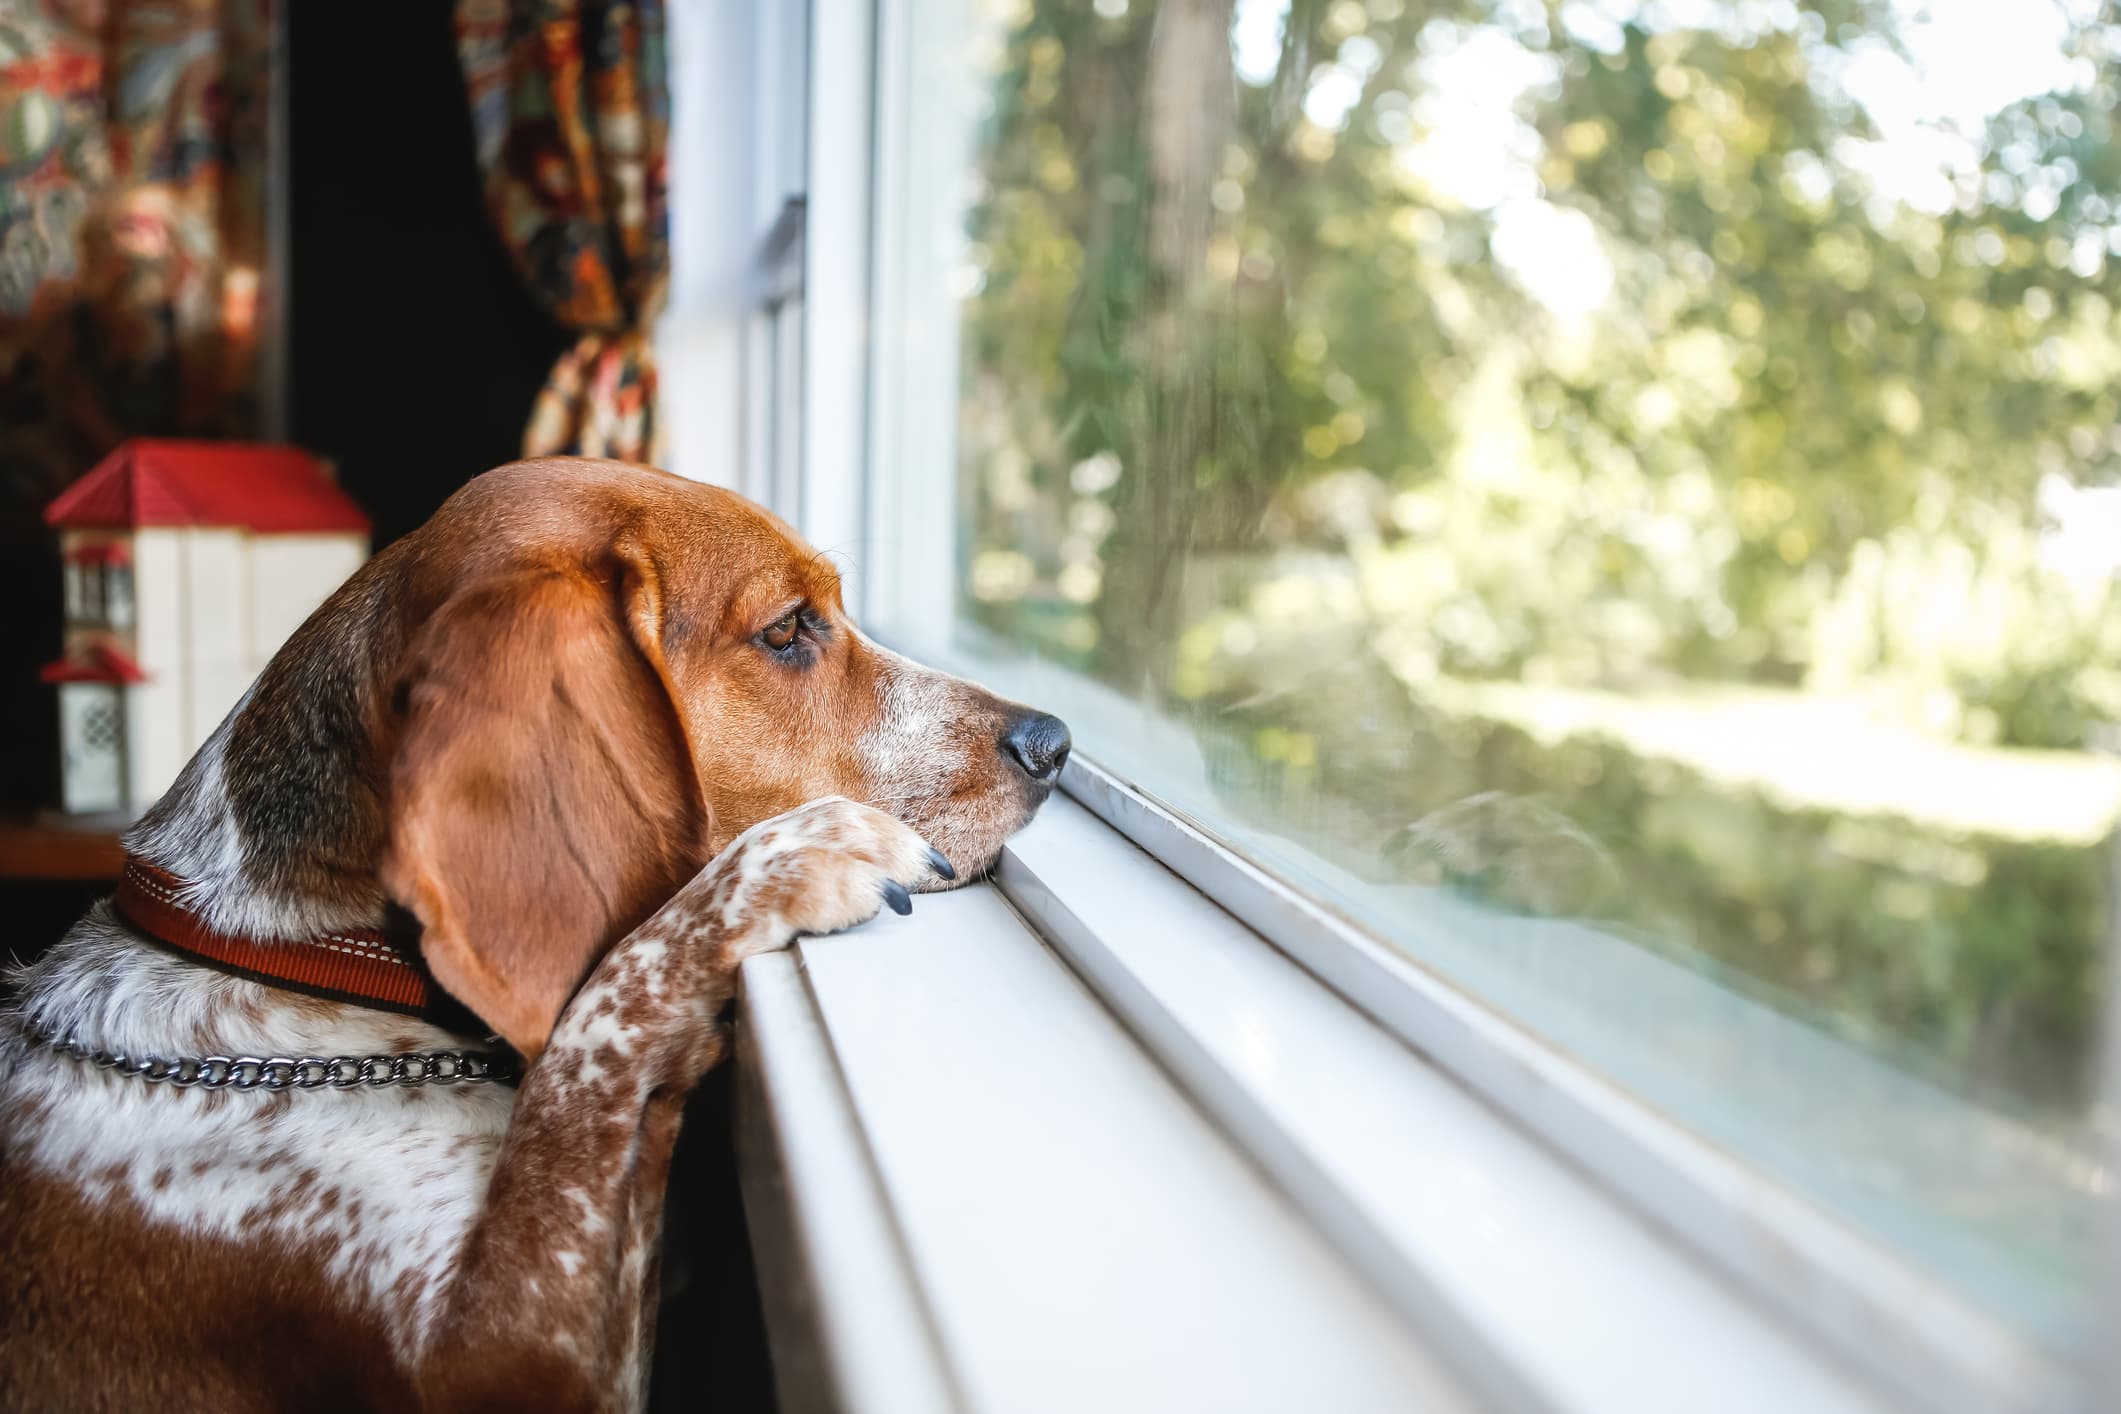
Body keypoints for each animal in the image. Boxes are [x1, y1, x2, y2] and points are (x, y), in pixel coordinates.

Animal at [0, 460, 1060, 1407]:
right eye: (787, 630)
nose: (1053, 741)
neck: (296, 959)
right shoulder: (508, 1355)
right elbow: (596, 1033)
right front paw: (780, 864)